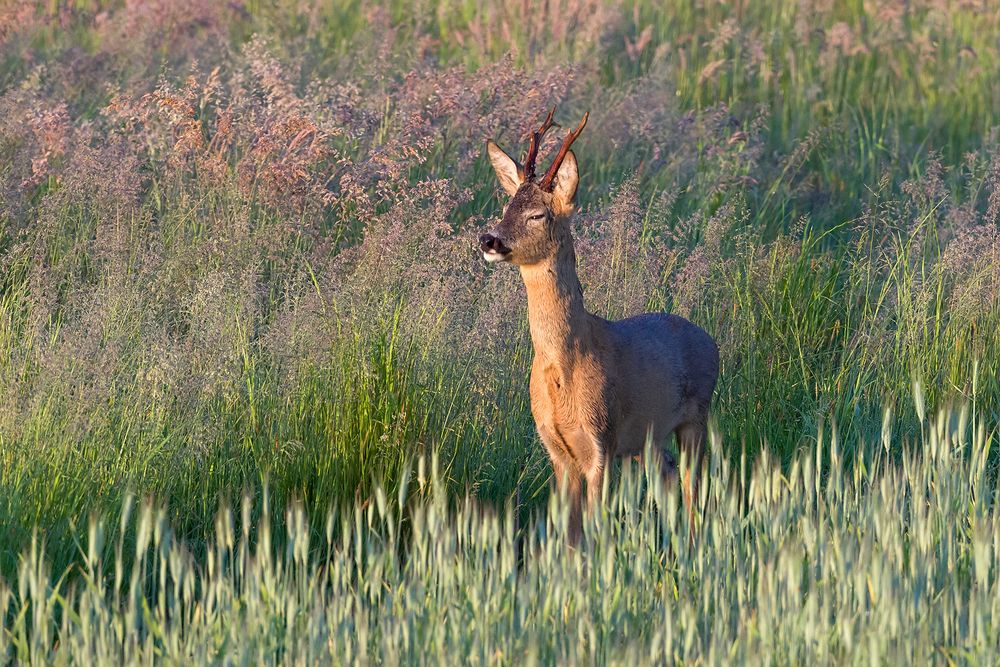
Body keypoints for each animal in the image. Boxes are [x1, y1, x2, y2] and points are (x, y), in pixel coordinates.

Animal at [478, 108, 720, 544]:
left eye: (538, 214)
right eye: (507, 206)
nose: (489, 240)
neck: (564, 368)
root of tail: (710, 340)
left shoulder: (601, 440)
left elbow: (593, 531)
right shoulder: (557, 450)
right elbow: (570, 536)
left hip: (696, 417)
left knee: (694, 486)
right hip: (648, 439)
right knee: (669, 476)